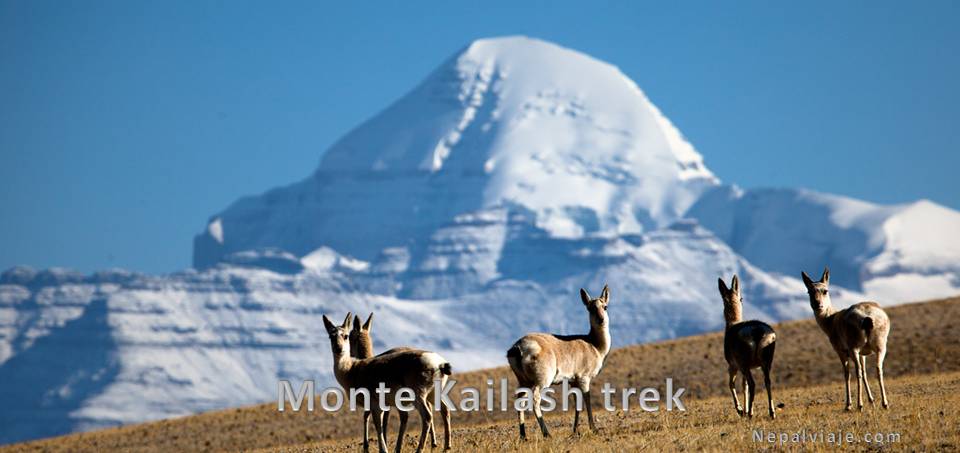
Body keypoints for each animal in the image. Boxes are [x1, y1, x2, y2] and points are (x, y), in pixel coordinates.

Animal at [323, 313, 452, 453]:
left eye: (346, 335)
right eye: (331, 336)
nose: (338, 348)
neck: (353, 369)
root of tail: (440, 363)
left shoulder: (376, 406)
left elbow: (378, 425)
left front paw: (382, 449)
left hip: (419, 397)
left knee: (427, 416)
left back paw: (420, 450)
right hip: (433, 395)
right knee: (445, 409)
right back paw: (446, 447)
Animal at [506, 285, 611, 439]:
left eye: (605, 306)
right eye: (590, 308)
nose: (601, 320)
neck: (593, 345)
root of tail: (518, 346)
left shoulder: (573, 382)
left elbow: (577, 403)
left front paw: (575, 430)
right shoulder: (584, 379)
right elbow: (587, 399)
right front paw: (594, 428)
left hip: (523, 381)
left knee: (520, 399)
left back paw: (523, 436)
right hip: (542, 381)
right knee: (535, 399)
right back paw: (547, 434)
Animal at [718, 275, 777, 419]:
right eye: (741, 298)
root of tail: (757, 332)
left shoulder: (733, 364)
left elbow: (731, 384)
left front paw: (740, 410)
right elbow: (743, 386)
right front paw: (744, 410)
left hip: (743, 362)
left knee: (753, 383)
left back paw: (750, 413)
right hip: (766, 361)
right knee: (767, 381)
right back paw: (771, 413)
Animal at [802, 267, 891, 411]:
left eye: (825, 290)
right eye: (809, 291)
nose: (817, 304)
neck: (831, 320)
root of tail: (868, 317)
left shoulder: (841, 352)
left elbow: (847, 373)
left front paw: (848, 405)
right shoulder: (863, 354)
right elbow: (865, 372)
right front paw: (871, 401)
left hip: (854, 348)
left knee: (857, 372)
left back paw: (859, 405)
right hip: (880, 347)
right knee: (878, 369)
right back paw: (885, 404)